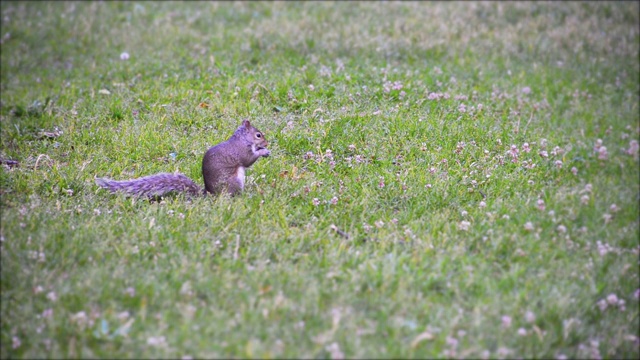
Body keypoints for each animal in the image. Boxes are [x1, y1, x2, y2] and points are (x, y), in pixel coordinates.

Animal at [96, 119, 272, 197]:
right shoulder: (241, 151)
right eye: (258, 135)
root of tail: (210, 194)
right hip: (234, 181)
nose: (266, 142)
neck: (242, 138)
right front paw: (263, 151)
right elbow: (248, 160)